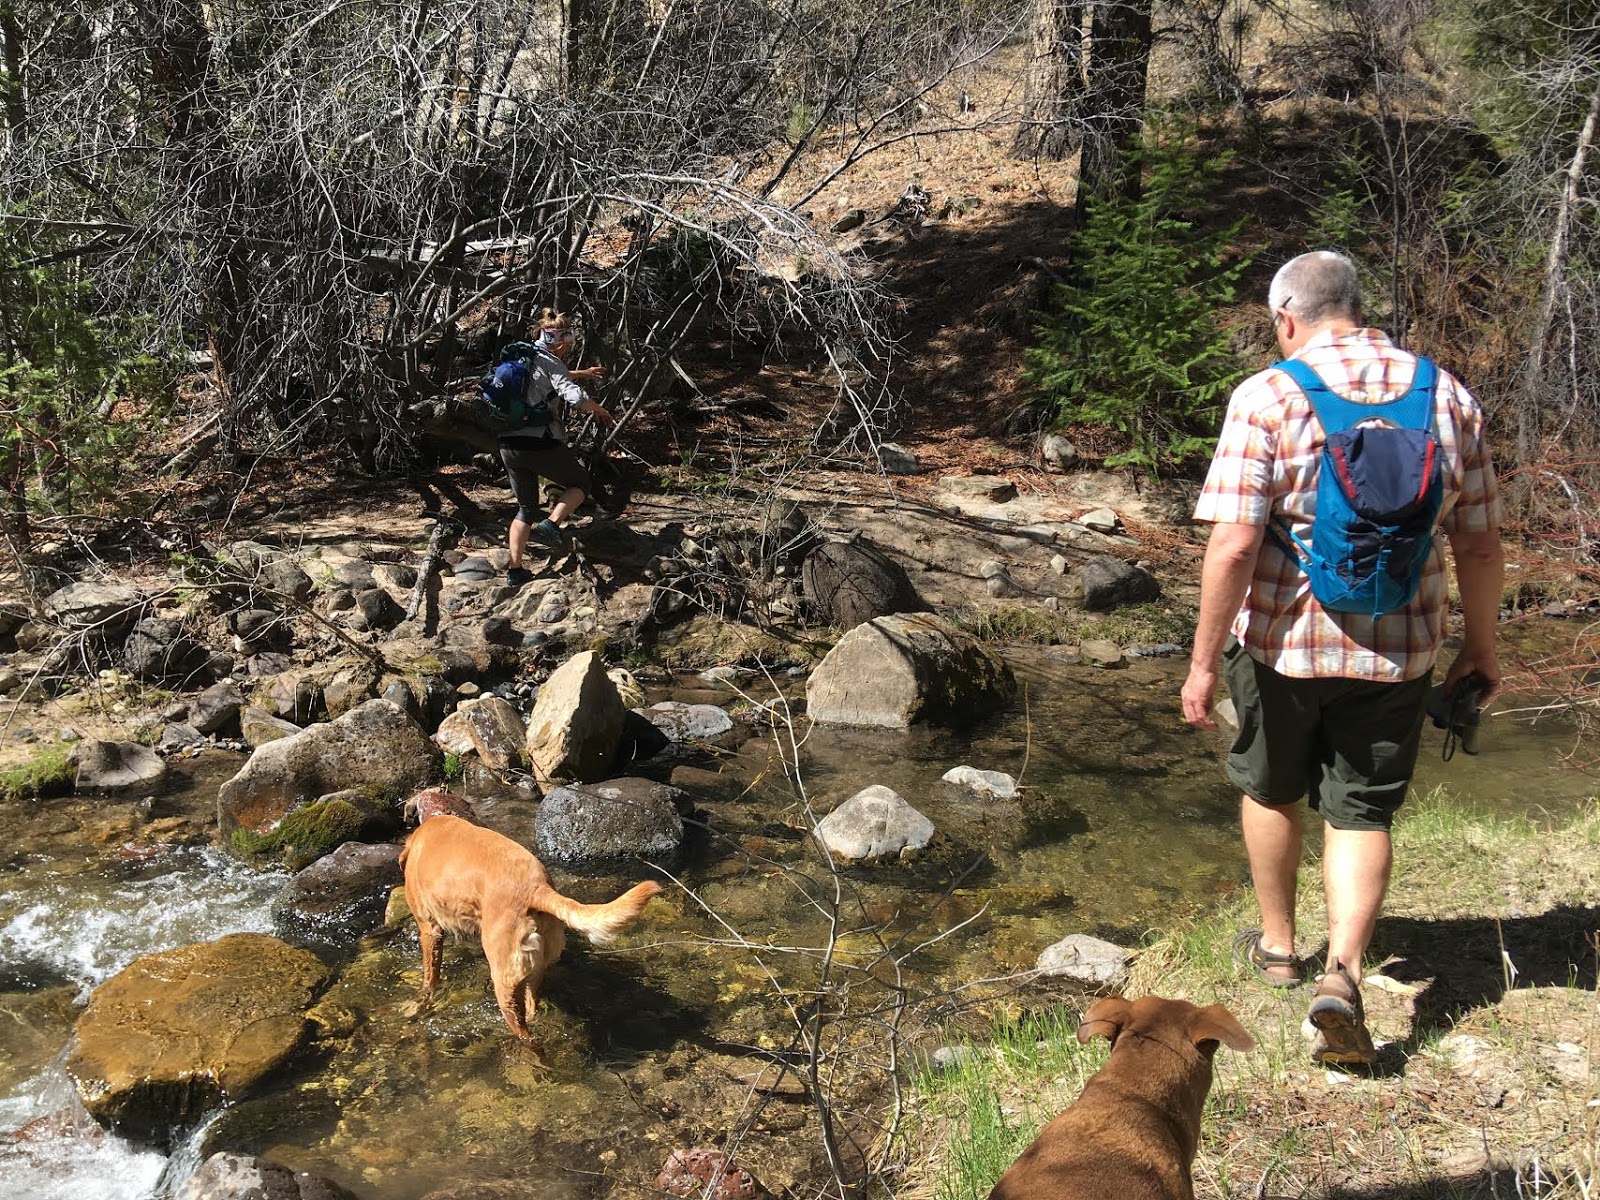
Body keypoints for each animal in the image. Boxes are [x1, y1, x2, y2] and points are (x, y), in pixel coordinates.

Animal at [400, 819, 662, 1043]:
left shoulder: (429, 928)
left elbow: (430, 975)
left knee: (525, 1032)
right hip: (535, 967)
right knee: (531, 1006)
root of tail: (536, 888)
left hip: (504, 979)